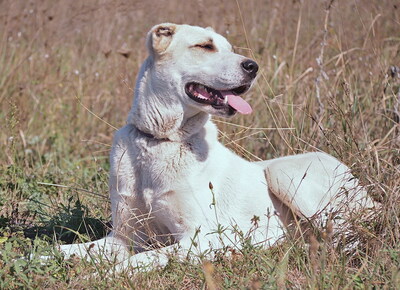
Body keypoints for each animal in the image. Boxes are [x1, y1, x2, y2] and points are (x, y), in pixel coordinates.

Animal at [60, 23, 376, 272]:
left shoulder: (203, 237)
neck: (162, 140)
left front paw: (105, 273)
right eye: (205, 46)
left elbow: (145, 258)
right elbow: (67, 251)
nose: (253, 66)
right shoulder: (122, 237)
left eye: (229, 48)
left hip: (283, 174)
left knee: (350, 235)